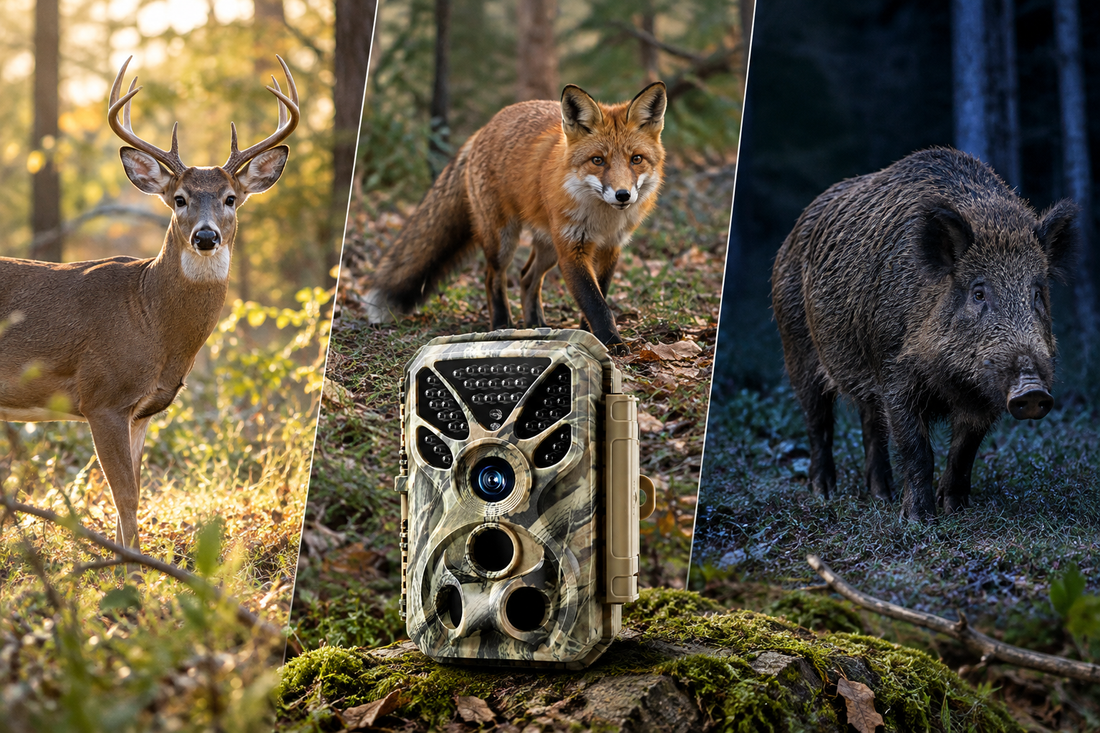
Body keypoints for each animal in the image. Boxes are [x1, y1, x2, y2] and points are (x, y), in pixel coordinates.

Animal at [0, 56, 299, 556]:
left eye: (230, 199)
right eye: (179, 199)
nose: (205, 236)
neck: (150, 319)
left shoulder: (140, 411)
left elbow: (135, 493)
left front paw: (128, 563)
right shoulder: (101, 396)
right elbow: (125, 497)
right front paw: (131, 568)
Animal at [363, 82, 667, 348]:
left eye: (636, 159)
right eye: (598, 160)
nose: (623, 195)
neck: (603, 219)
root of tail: (485, 127)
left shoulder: (610, 248)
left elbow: (598, 296)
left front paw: (591, 334)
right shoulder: (572, 249)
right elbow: (595, 303)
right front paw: (611, 342)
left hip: (548, 248)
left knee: (526, 277)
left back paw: (535, 324)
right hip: (504, 240)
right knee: (493, 278)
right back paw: (501, 324)